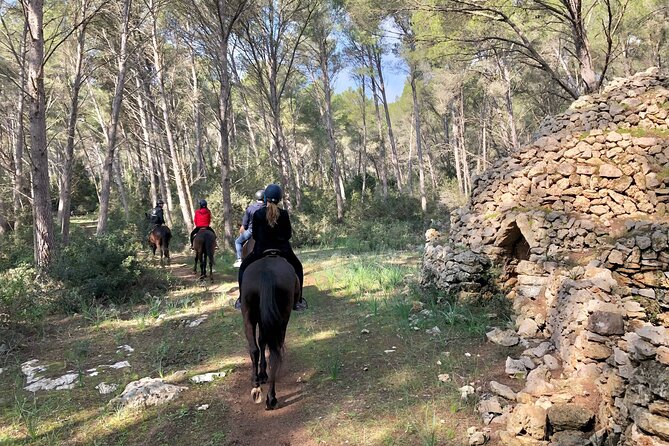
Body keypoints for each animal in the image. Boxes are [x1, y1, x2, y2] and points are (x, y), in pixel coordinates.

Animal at [240, 254, 298, 412]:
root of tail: (267, 272)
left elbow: (261, 342)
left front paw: (262, 375)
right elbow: (263, 341)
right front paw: (263, 374)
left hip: (249, 316)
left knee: (254, 349)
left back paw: (256, 384)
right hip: (282, 319)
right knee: (274, 353)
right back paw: (271, 398)